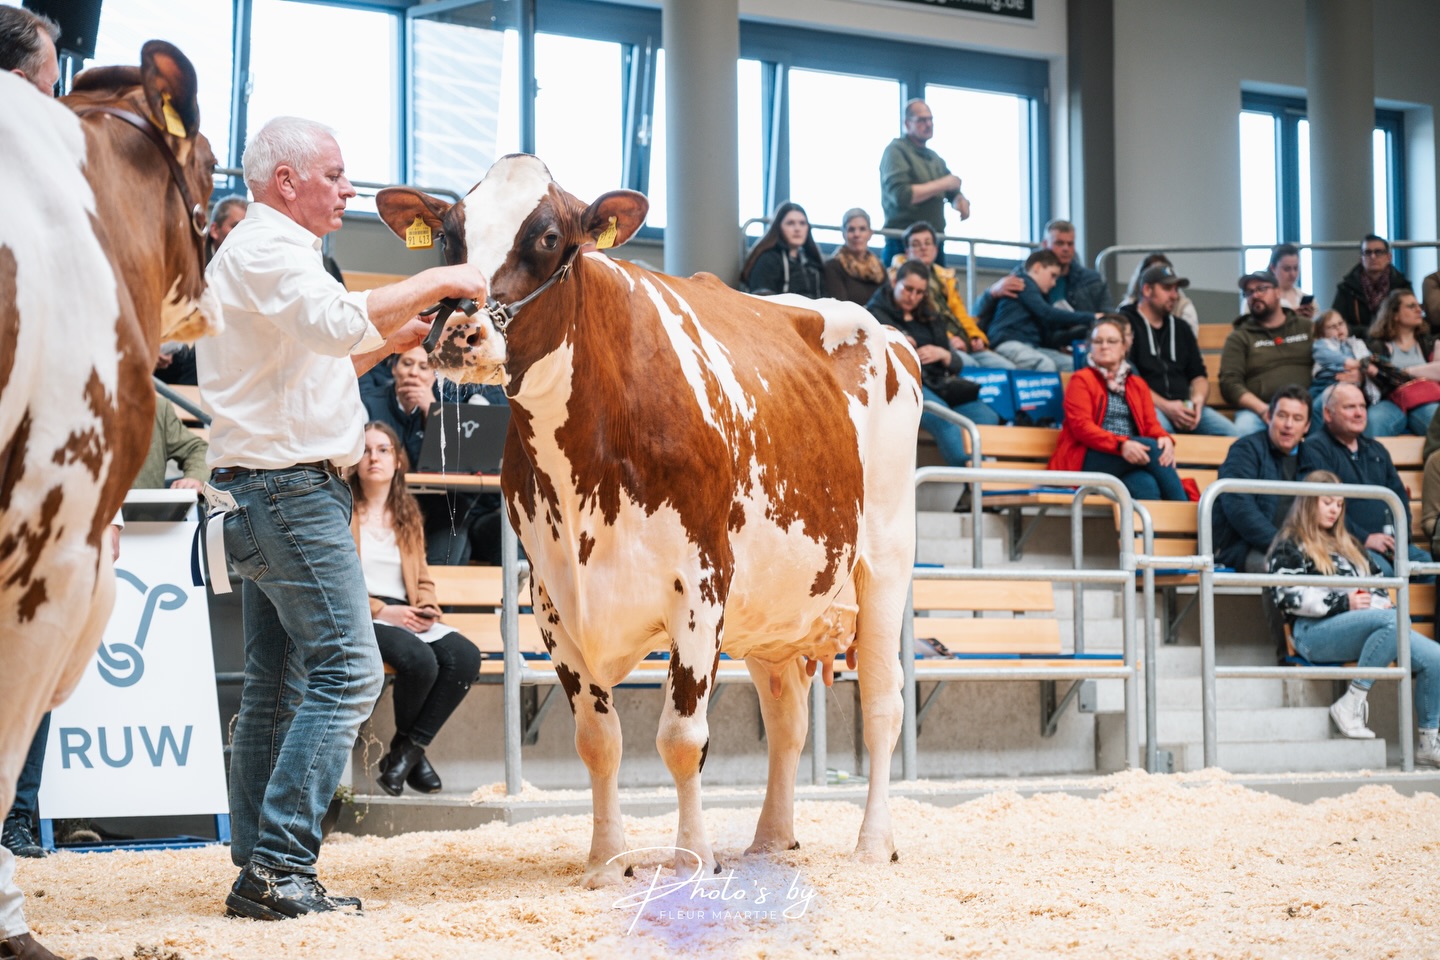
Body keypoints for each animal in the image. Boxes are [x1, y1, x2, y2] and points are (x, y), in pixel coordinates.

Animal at [377, 155, 922, 887]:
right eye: (449, 234)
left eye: (549, 236)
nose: (459, 334)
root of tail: (887, 332)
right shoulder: (553, 600)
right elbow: (598, 740)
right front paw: (608, 862)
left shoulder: (701, 584)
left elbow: (682, 738)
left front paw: (692, 858)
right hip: (776, 600)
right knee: (786, 717)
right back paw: (770, 840)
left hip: (884, 560)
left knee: (883, 703)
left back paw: (871, 843)